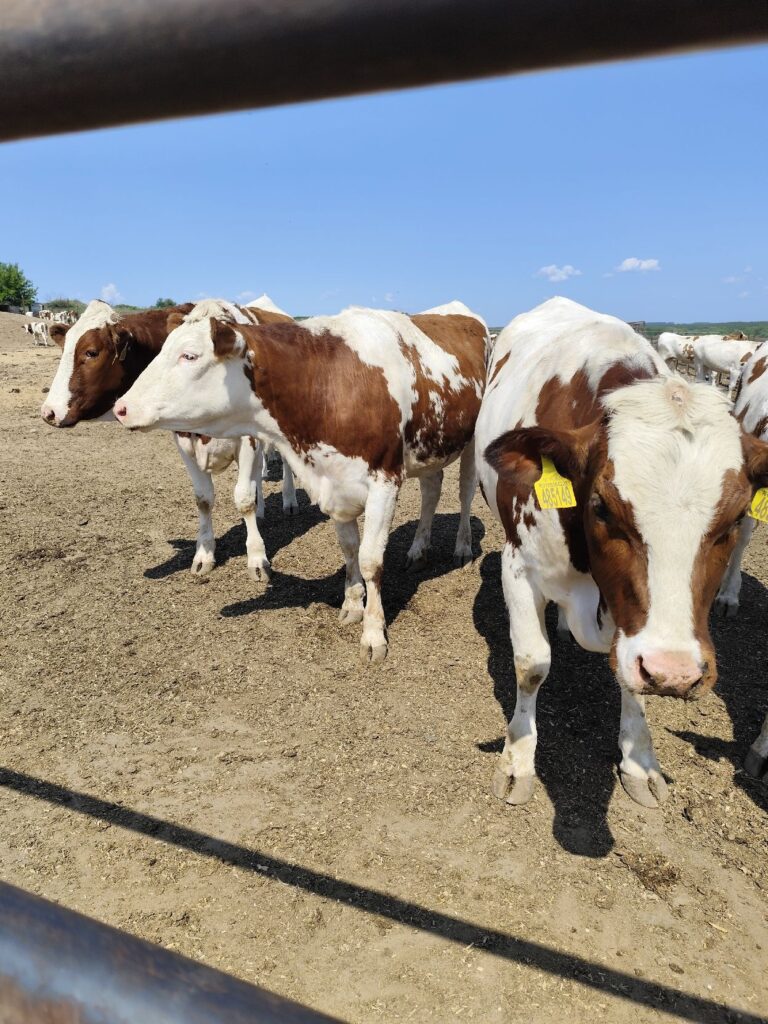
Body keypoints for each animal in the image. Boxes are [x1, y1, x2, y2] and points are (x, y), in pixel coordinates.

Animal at [39, 296, 296, 585]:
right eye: (64, 350)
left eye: (91, 352)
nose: (49, 412)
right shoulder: (183, 441)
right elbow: (204, 498)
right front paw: (204, 554)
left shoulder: (247, 438)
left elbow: (244, 498)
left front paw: (257, 558)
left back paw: (288, 501)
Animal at [112, 299, 487, 659]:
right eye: (162, 349)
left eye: (189, 355)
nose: (120, 407)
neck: (326, 382)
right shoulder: (335, 482)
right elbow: (349, 549)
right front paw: (353, 604)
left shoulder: (384, 481)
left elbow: (370, 560)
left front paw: (373, 634)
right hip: (431, 446)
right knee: (431, 490)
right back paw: (418, 550)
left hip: (471, 442)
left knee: (465, 492)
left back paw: (463, 548)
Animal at [475, 296, 768, 806]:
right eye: (602, 507)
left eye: (734, 518)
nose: (675, 672)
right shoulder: (517, 567)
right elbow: (532, 664)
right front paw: (517, 759)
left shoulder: (633, 622)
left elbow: (631, 680)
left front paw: (639, 758)